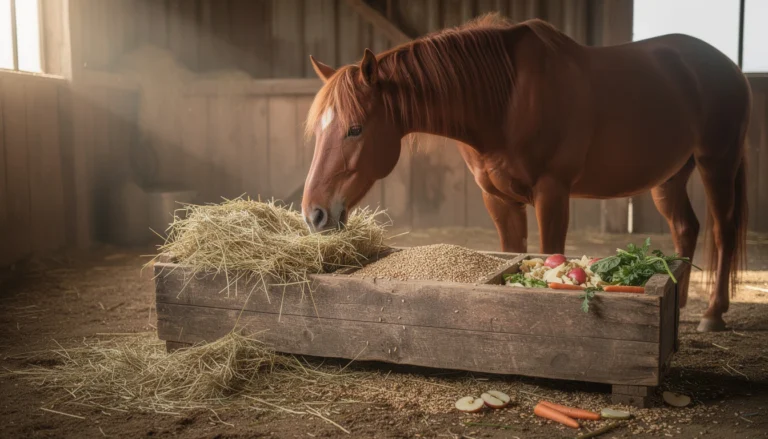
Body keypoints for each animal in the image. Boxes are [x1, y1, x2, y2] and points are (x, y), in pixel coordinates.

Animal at [300, 14, 751, 333]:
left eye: (355, 128)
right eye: (318, 129)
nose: (314, 214)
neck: (506, 99)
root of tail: (728, 67)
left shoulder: (552, 194)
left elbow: (551, 250)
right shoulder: (499, 199)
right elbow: (513, 249)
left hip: (716, 164)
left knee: (722, 231)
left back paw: (713, 314)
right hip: (669, 177)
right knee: (686, 228)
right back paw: (681, 300)